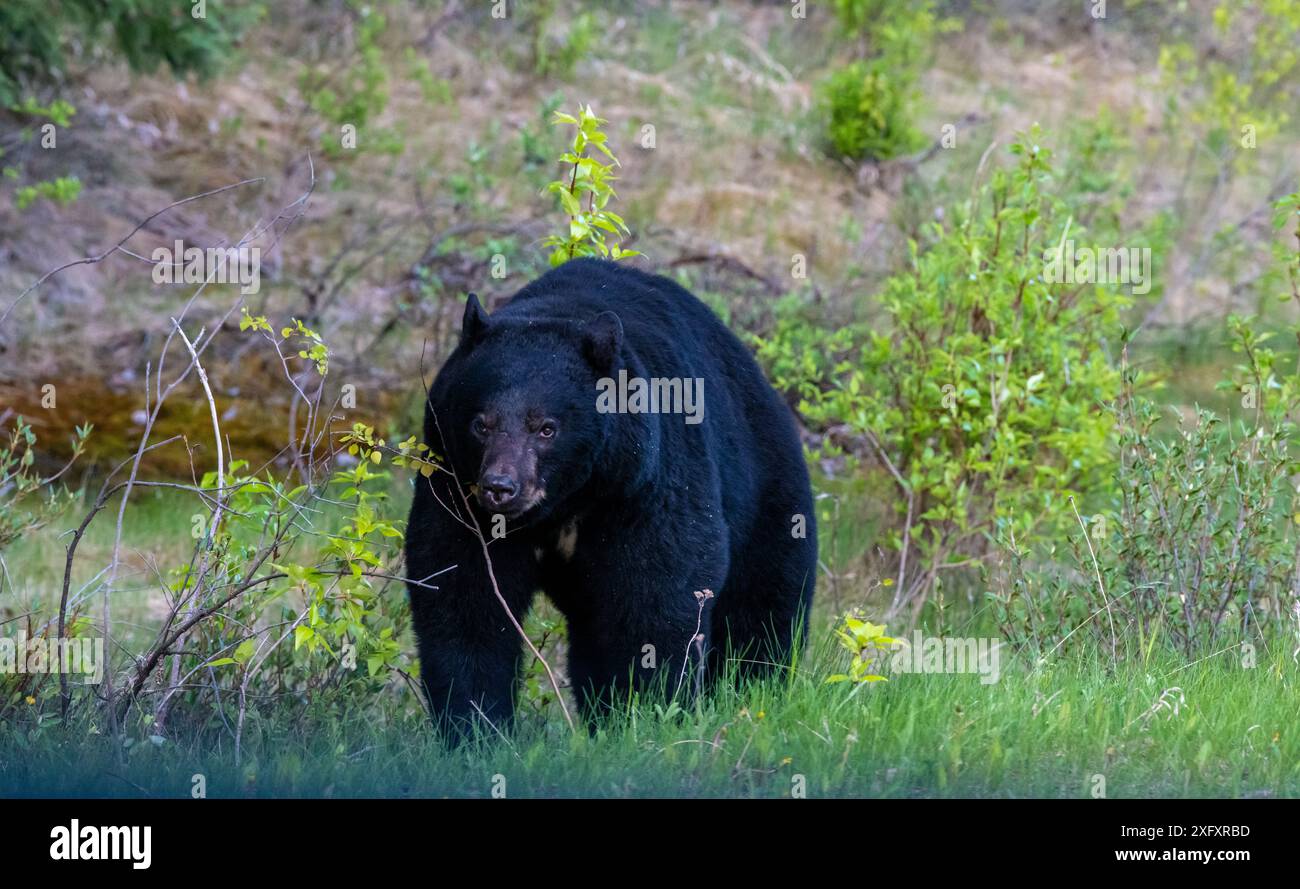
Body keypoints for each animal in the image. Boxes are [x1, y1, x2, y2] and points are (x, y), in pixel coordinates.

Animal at [405, 258, 817, 738]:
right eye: (480, 424)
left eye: (546, 428)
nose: (500, 487)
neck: (566, 501)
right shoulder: (454, 486)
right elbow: (462, 592)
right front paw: (474, 725)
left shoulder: (642, 485)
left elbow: (655, 598)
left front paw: (648, 713)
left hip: (768, 495)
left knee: (762, 609)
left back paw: (751, 690)